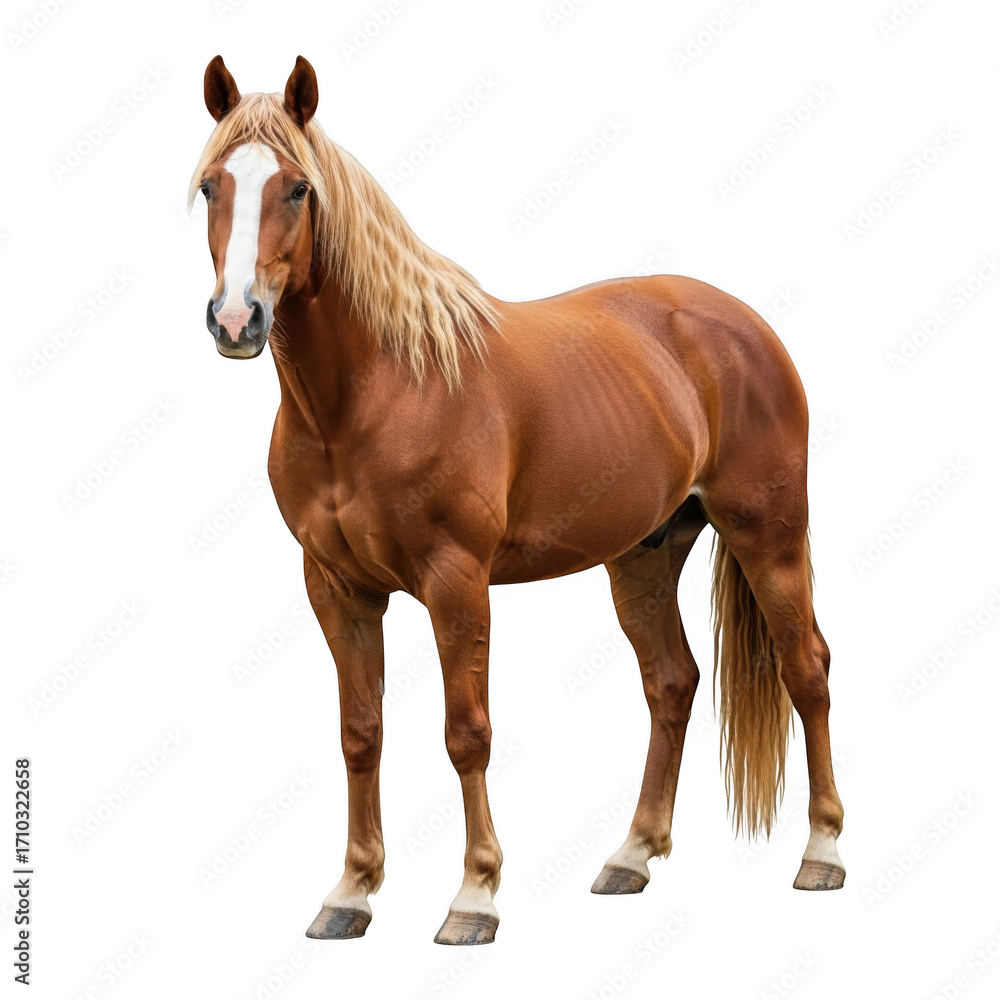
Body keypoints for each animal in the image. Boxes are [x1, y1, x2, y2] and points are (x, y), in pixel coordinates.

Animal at [191, 55, 846, 946]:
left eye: (297, 187)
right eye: (211, 185)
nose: (236, 319)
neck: (378, 389)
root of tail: (740, 324)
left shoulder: (456, 582)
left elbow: (466, 733)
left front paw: (474, 896)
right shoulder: (337, 588)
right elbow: (360, 733)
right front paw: (352, 893)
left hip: (769, 536)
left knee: (805, 667)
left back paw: (822, 852)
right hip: (643, 557)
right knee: (672, 683)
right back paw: (632, 855)